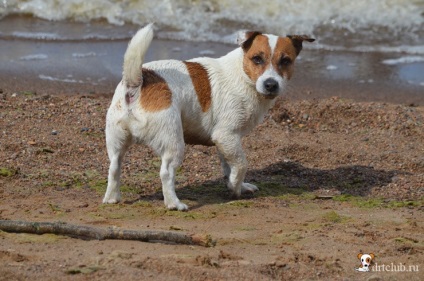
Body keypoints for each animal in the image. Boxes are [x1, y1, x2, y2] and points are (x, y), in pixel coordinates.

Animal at [103, 23, 314, 210]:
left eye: (285, 61)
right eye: (257, 59)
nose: (271, 84)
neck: (243, 74)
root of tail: (137, 83)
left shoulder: (228, 141)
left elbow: (229, 166)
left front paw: (236, 184)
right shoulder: (225, 135)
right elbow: (241, 165)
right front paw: (235, 188)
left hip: (116, 141)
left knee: (114, 167)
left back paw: (112, 198)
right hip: (173, 142)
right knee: (166, 173)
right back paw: (174, 203)